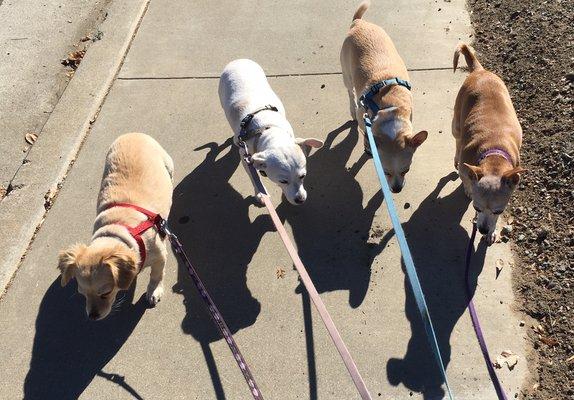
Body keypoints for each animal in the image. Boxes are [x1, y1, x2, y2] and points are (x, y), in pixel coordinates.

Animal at [58, 133, 177, 320]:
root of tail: (133, 133)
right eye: (82, 294)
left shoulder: (159, 256)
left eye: (106, 293)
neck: (119, 230)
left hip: (167, 164)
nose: (92, 316)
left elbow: (156, 274)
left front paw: (154, 291)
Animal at [219, 58, 324, 206]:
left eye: (303, 176)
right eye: (283, 181)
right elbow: (255, 178)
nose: (300, 200)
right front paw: (260, 193)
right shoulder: (246, 159)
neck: (268, 129)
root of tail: (239, 60)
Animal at [342, 0, 428, 193]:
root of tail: (359, 23)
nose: (396, 189)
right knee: (350, 92)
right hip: (346, 75)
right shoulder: (364, 120)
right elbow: (367, 136)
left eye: (406, 170)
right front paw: (368, 147)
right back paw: (351, 108)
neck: (390, 109)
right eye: (385, 172)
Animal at [452, 43, 528, 244]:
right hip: (456, 124)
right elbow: (467, 179)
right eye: (476, 208)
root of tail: (480, 71)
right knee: (457, 141)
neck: (494, 153)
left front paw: (492, 231)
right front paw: (468, 188)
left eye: (499, 211)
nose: (483, 229)